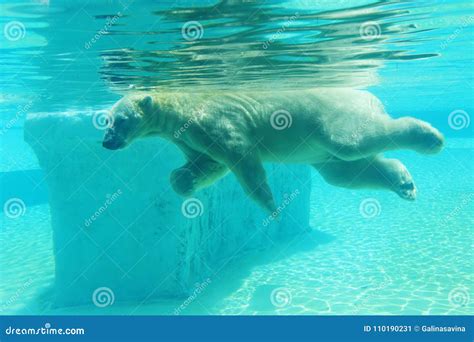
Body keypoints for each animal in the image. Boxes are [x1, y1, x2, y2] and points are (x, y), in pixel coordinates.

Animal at [101, 88, 444, 214]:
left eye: (119, 120)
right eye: (105, 121)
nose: (106, 142)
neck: (181, 107)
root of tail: (371, 97)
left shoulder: (213, 122)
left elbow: (240, 156)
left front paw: (270, 206)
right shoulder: (188, 139)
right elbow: (209, 163)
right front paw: (183, 180)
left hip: (329, 114)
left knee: (349, 142)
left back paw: (430, 137)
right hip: (318, 152)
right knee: (344, 172)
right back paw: (404, 183)